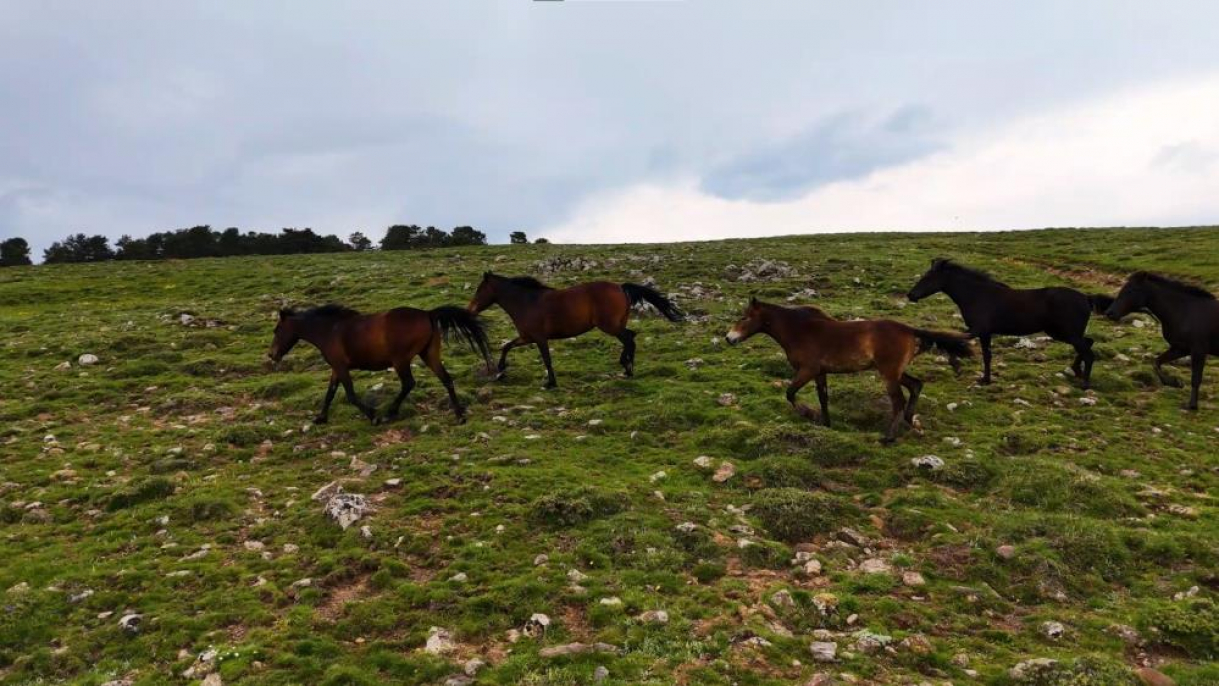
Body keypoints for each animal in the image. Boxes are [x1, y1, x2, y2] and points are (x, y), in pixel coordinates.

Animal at [267, 304, 491, 424]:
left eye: (277, 330)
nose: (272, 355)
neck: (330, 330)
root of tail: (428, 313)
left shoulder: (341, 367)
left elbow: (350, 395)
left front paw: (373, 416)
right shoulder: (336, 369)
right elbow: (330, 393)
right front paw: (320, 418)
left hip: (401, 360)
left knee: (409, 384)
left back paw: (390, 414)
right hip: (429, 355)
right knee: (447, 379)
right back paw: (460, 416)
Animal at [467, 272, 683, 388]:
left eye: (480, 289)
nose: (470, 309)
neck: (527, 302)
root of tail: (620, 287)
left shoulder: (539, 338)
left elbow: (547, 359)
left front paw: (551, 383)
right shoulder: (527, 337)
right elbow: (507, 346)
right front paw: (500, 370)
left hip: (609, 326)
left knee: (629, 339)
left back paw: (627, 367)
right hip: (616, 325)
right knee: (631, 337)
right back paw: (629, 368)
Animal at [726, 297, 972, 444]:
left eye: (744, 317)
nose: (729, 338)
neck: (799, 330)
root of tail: (909, 330)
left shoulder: (807, 370)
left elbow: (790, 393)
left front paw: (807, 413)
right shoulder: (820, 373)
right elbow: (823, 398)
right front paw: (825, 423)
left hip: (889, 373)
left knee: (898, 400)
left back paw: (889, 437)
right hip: (896, 372)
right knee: (916, 385)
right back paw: (911, 423)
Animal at [906, 258, 1113, 387]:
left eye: (928, 277)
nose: (910, 295)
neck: (976, 295)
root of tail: (1086, 298)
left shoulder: (979, 330)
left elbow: (962, 344)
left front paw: (970, 373)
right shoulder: (983, 332)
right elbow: (984, 354)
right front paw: (984, 379)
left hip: (1066, 332)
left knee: (1088, 352)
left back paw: (1085, 383)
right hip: (1061, 332)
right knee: (1088, 343)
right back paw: (1077, 371)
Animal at [1105, 272, 1219, 410]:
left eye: (1131, 290)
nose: (1110, 313)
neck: (1185, 311)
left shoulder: (1198, 350)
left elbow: (1195, 378)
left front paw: (1192, 405)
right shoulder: (1180, 348)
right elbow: (1156, 362)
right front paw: (1175, 383)